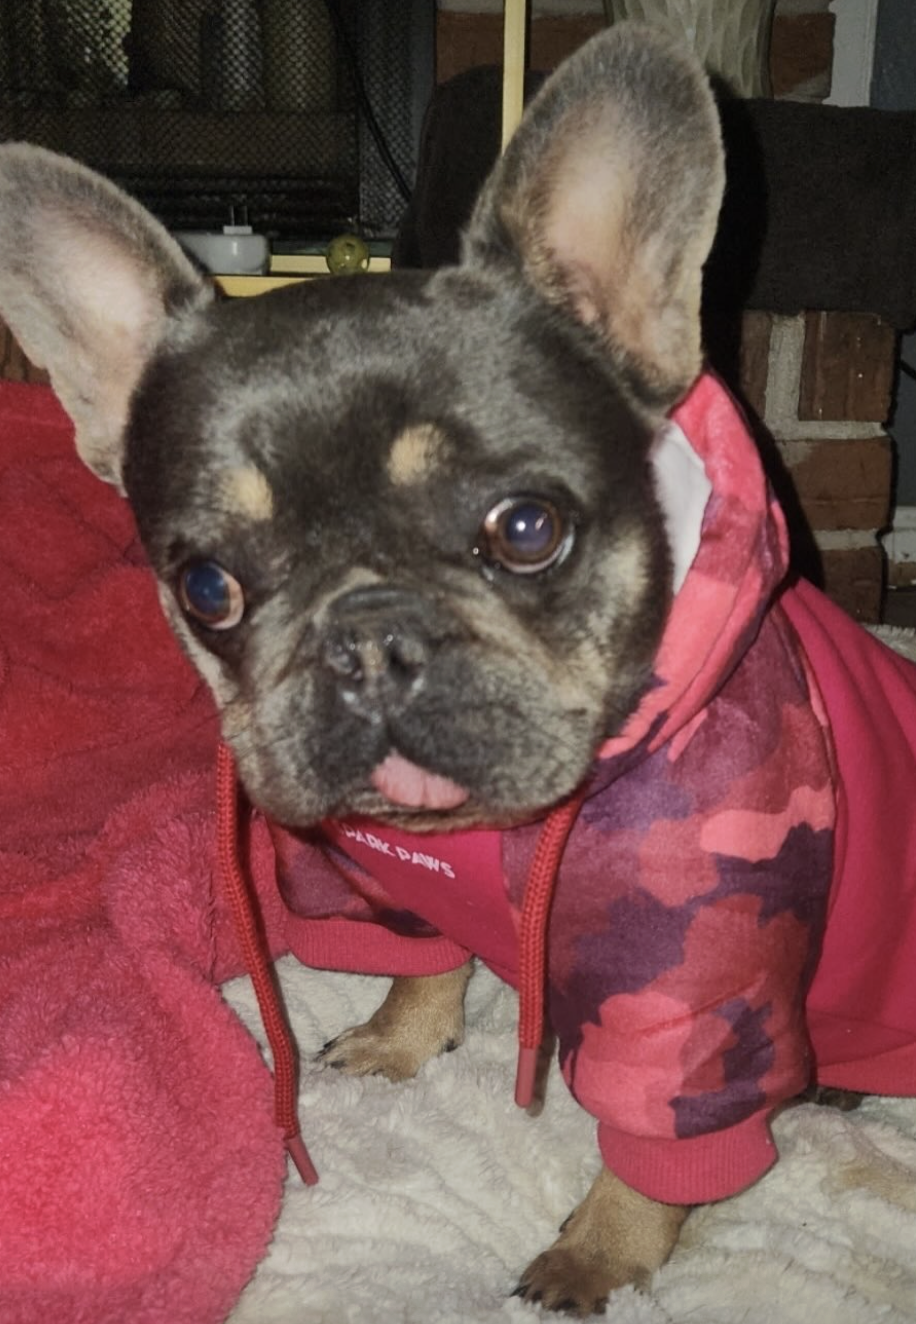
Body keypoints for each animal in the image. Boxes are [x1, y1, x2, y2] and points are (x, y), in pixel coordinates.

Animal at [3, 22, 916, 1318]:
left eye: (526, 528)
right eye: (207, 586)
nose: (368, 637)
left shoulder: (693, 988)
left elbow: (653, 1145)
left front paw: (596, 1255)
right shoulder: (370, 882)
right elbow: (420, 965)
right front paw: (400, 1036)